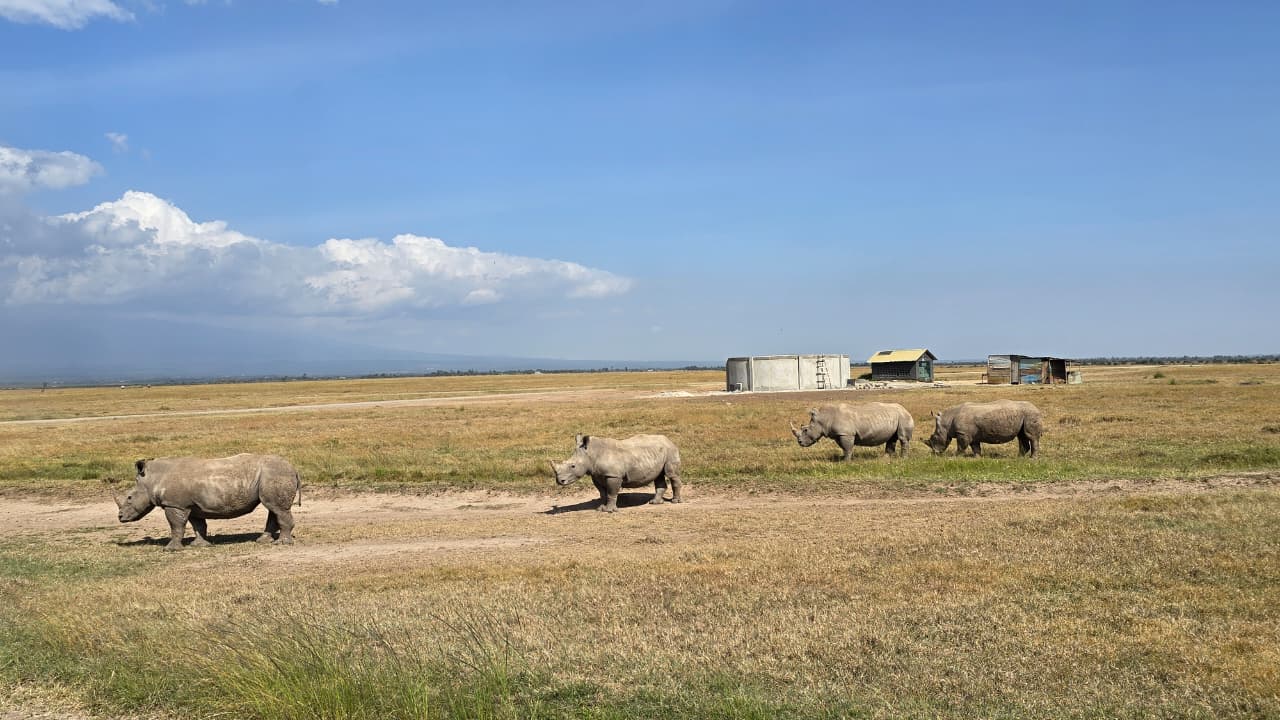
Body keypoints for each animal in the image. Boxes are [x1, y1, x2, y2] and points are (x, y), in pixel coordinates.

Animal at [111, 453, 302, 550]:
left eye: (129, 497)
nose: (120, 517)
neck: (152, 479)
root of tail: (294, 468)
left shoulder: (175, 504)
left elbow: (176, 526)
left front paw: (170, 549)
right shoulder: (190, 505)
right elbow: (198, 525)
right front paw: (199, 545)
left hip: (275, 474)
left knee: (278, 509)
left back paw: (281, 544)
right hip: (271, 475)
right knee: (273, 508)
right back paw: (262, 541)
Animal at [550, 434, 682, 512]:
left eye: (573, 466)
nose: (560, 481)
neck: (591, 454)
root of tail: (669, 440)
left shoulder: (613, 475)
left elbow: (611, 492)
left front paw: (609, 510)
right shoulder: (596, 475)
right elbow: (602, 493)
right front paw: (601, 508)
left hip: (670, 450)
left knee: (671, 474)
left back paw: (675, 502)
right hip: (658, 452)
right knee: (658, 475)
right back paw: (655, 503)